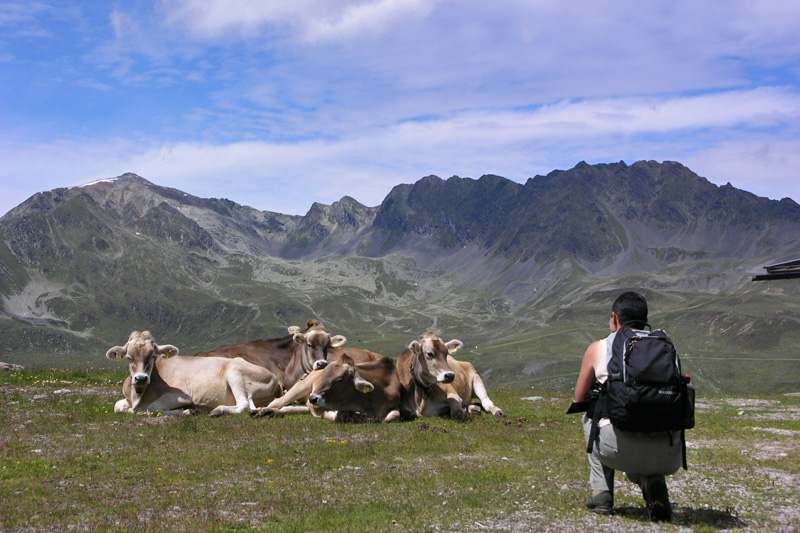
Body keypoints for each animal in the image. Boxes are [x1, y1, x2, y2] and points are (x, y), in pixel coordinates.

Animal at [106, 328, 282, 416]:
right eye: (129, 357)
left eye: (152, 355)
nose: (141, 378)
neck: (138, 397)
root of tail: (275, 380)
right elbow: (117, 406)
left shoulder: (181, 395)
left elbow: (153, 407)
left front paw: (186, 411)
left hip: (234, 371)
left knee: (244, 405)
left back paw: (217, 410)